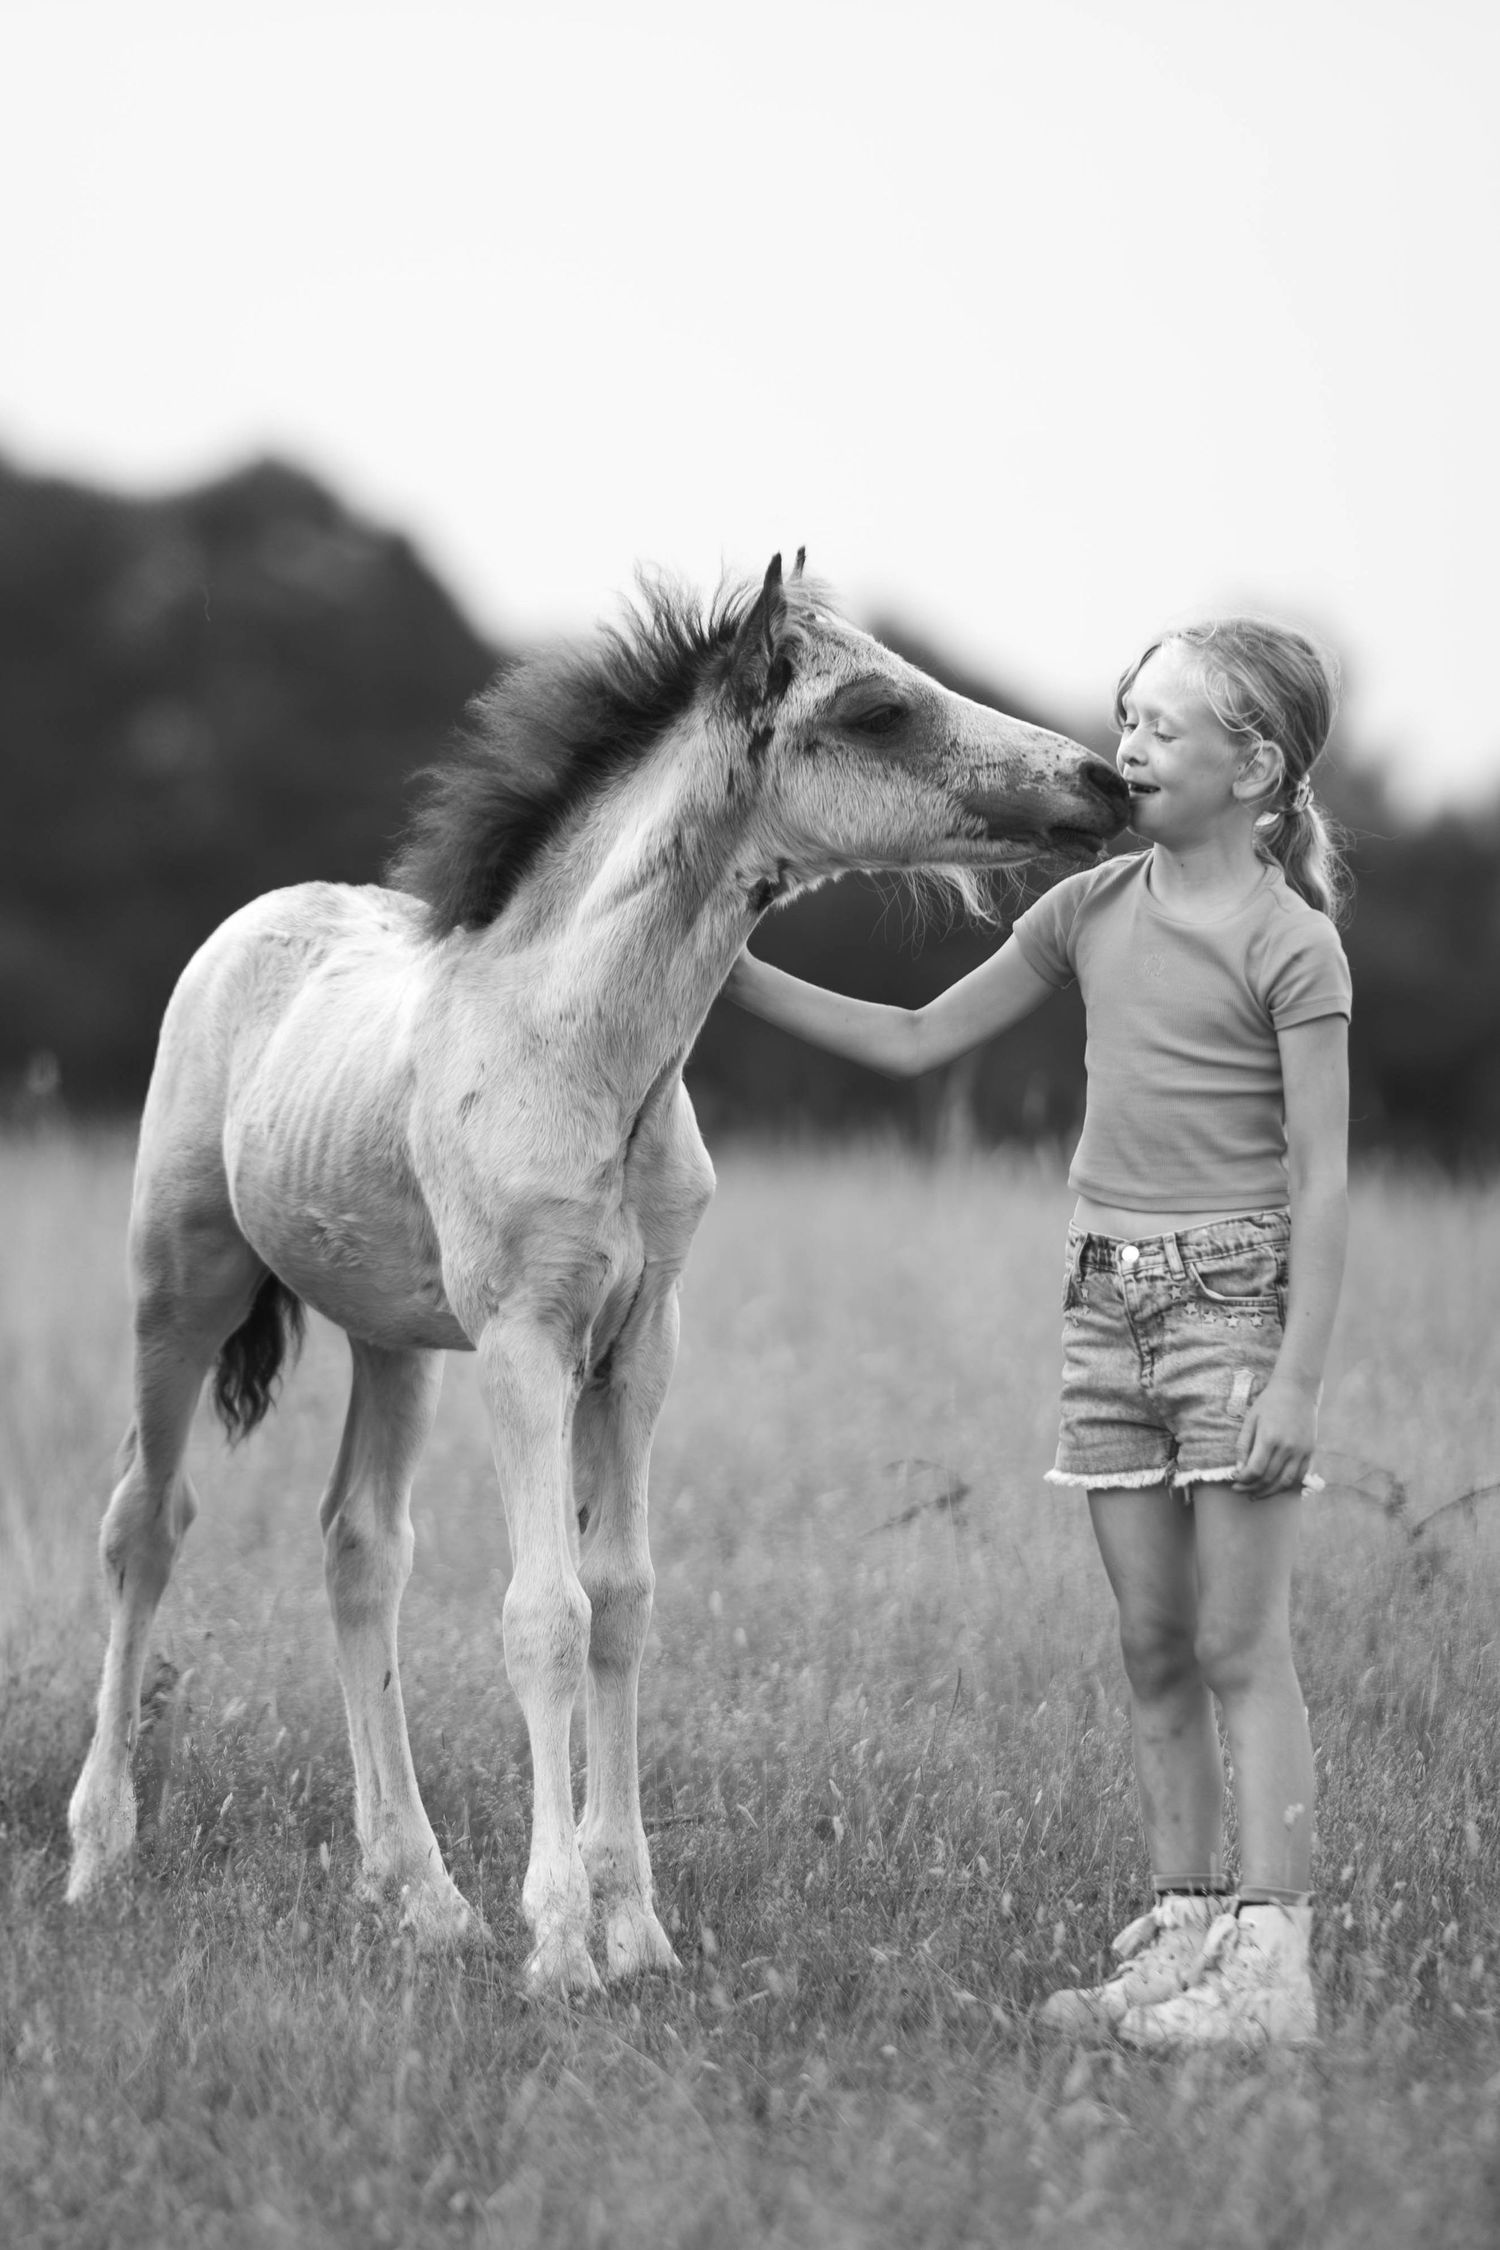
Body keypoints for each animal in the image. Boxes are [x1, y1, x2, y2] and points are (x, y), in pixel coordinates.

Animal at [66, 553, 1127, 1991]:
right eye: (876, 710)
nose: (1104, 783)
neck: (587, 1055)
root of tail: (264, 916)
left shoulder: (638, 1345)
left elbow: (621, 1600)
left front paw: (639, 1930)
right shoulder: (524, 1339)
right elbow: (544, 1611)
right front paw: (563, 1941)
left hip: (394, 1336)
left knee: (360, 1547)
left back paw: (422, 1894)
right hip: (181, 1283)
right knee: (145, 1522)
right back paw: (98, 1857)